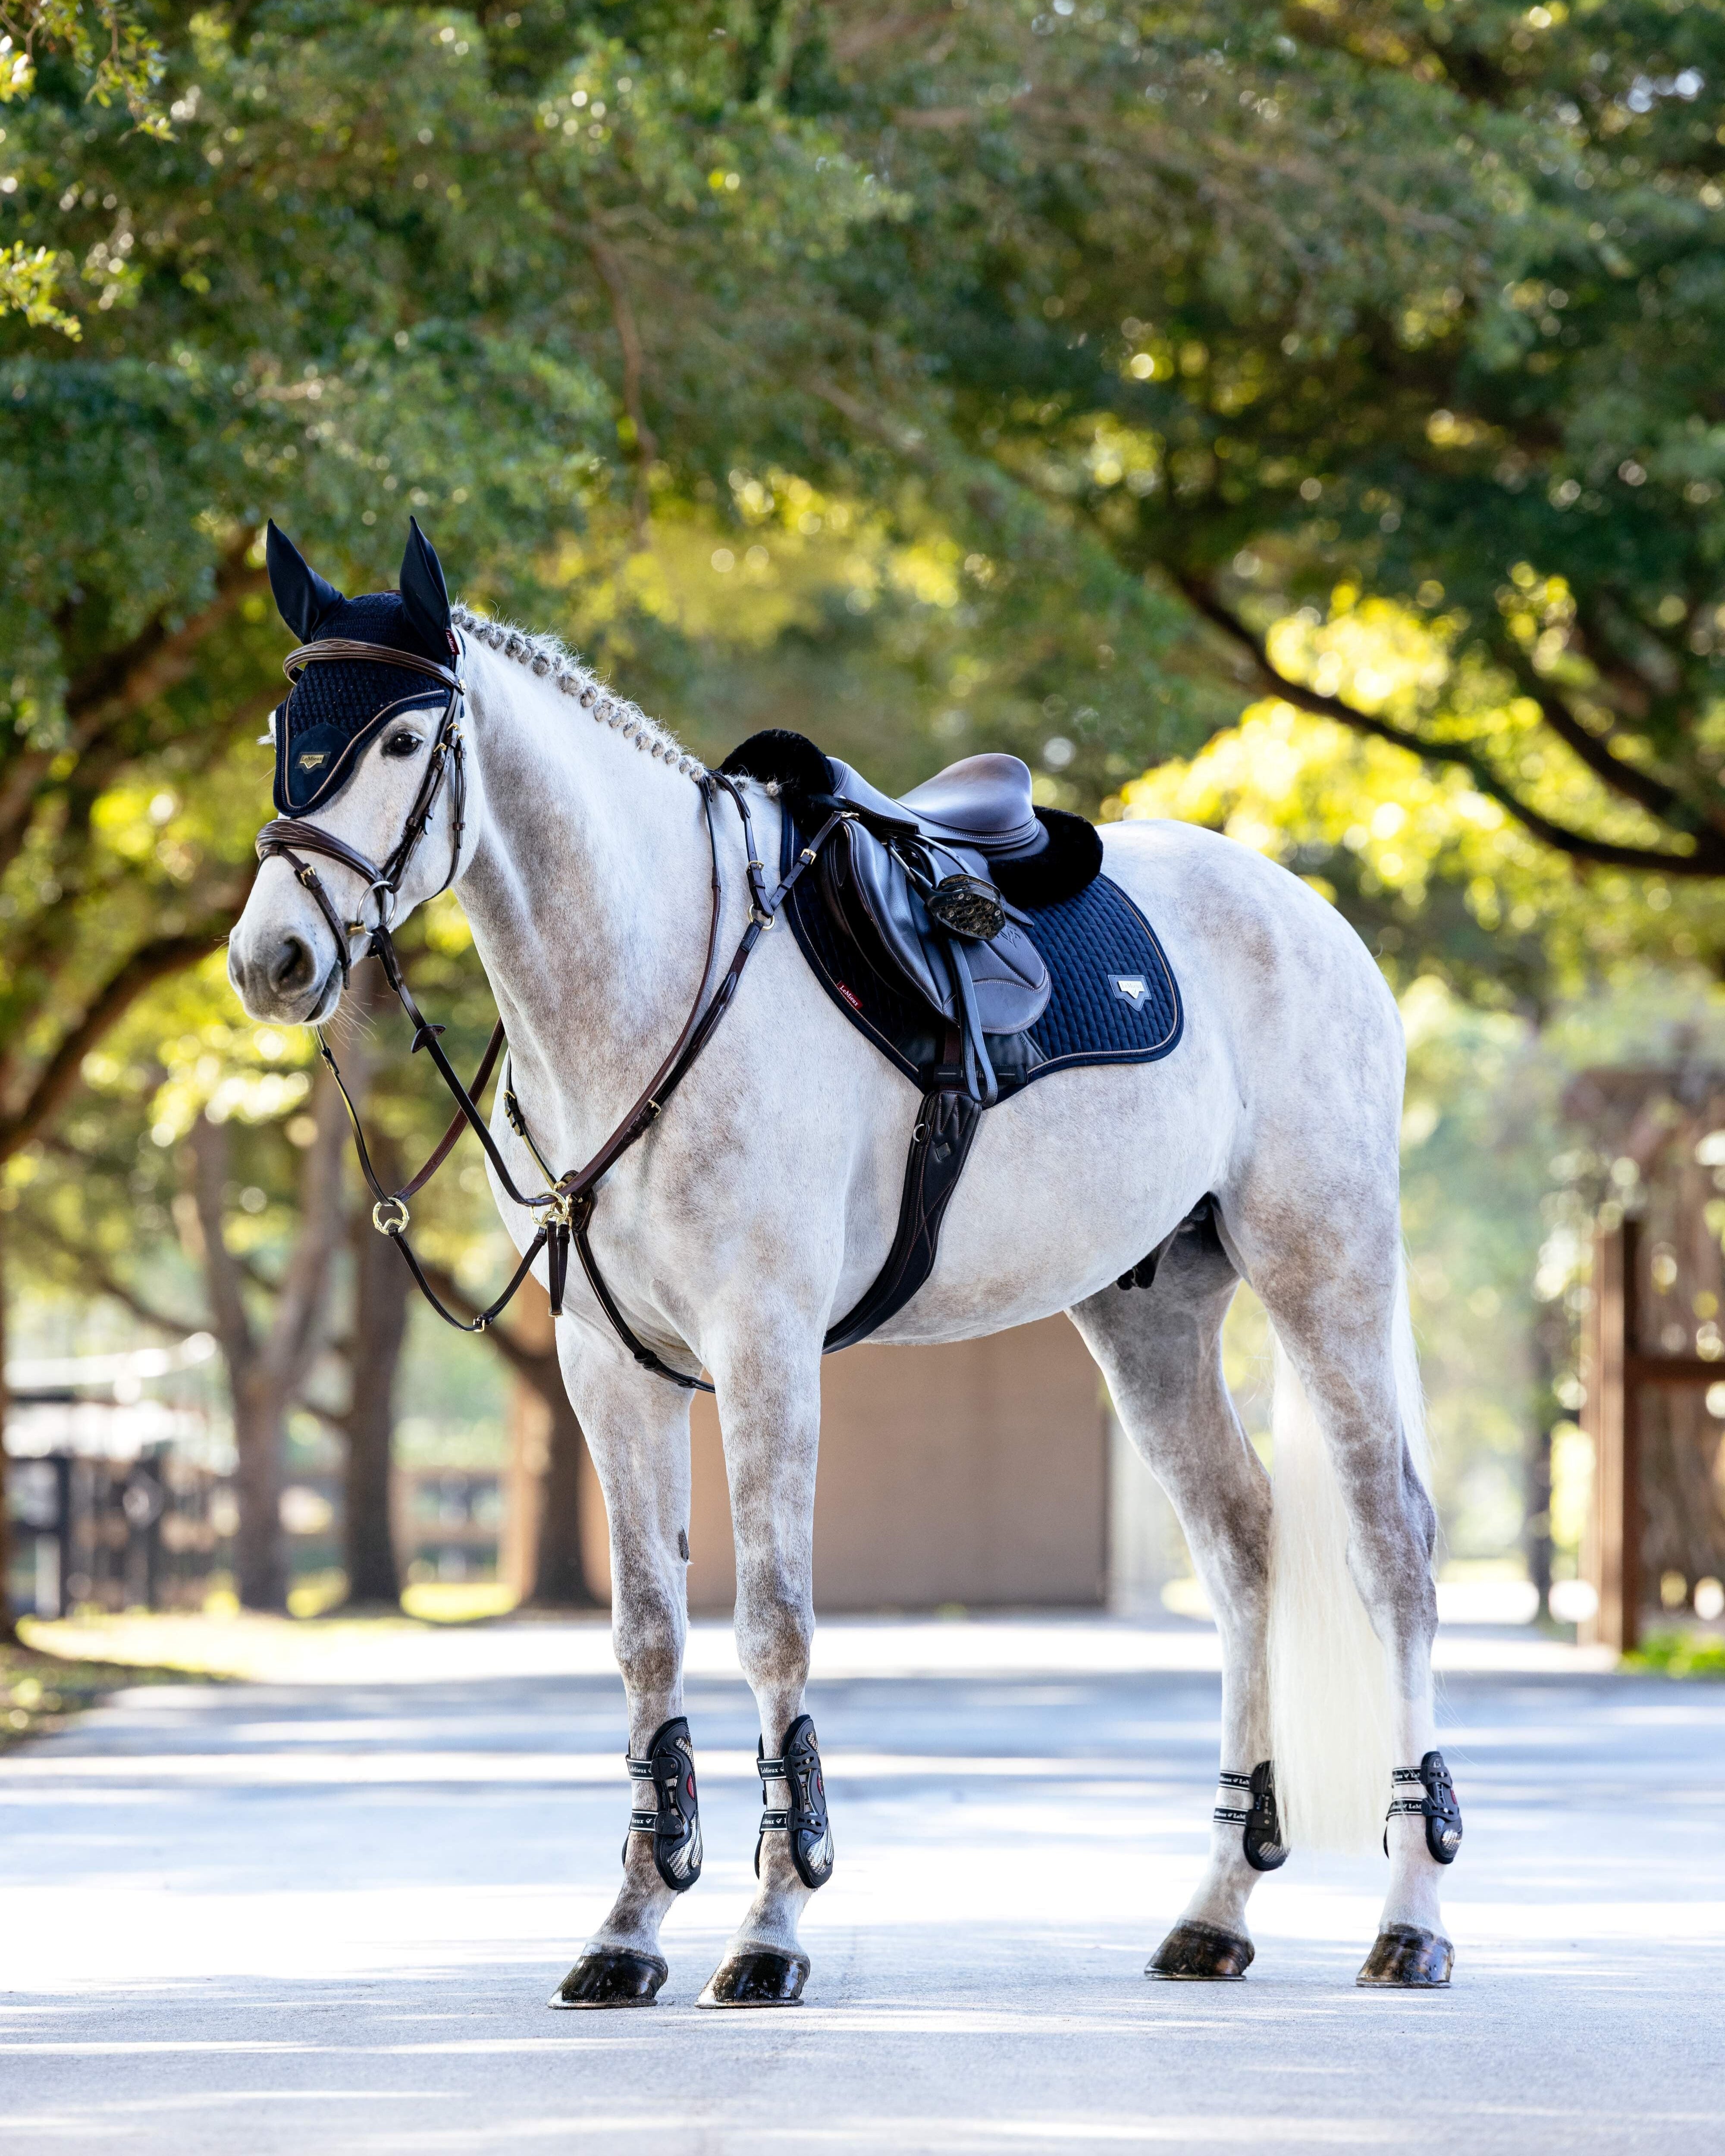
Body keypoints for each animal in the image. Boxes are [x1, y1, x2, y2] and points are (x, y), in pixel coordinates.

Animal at [228, 522, 1460, 2008]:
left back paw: (1411, 1916)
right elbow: (647, 1638)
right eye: (285, 726)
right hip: (1152, 1318)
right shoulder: (609, 1370)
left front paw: (770, 1925)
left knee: (1393, 1554)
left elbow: (773, 1623)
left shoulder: (765, 1348)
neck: (651, 980)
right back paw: (1214, 1910)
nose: (273, 957)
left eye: (408, 735)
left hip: (1326, 1275)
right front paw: (628, 1928)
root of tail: (1314, 920)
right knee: (1244, 1555)